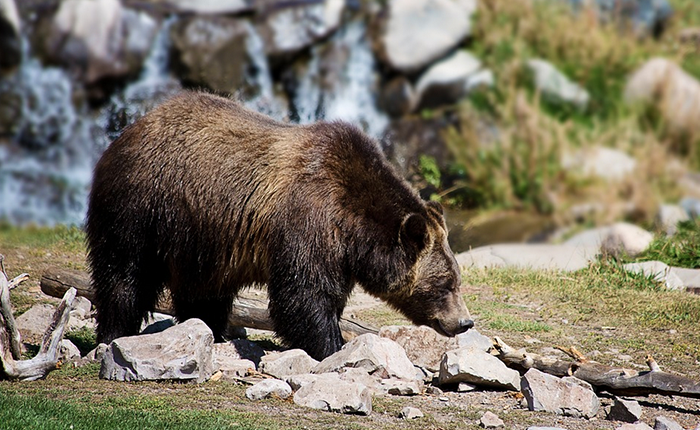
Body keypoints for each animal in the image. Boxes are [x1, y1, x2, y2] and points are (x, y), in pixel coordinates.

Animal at [86, 91, 473, 360]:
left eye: (456, 279)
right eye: (446, 284)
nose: (464, 322)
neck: (354, 227)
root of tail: (130, 129)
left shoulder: (339, 253)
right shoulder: (309, 219)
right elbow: (303, 295)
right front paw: (332, 346)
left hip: (200, 236)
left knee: (203, 291)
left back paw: (210, 330)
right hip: (142, 205)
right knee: (125, 272)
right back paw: (114, 333)